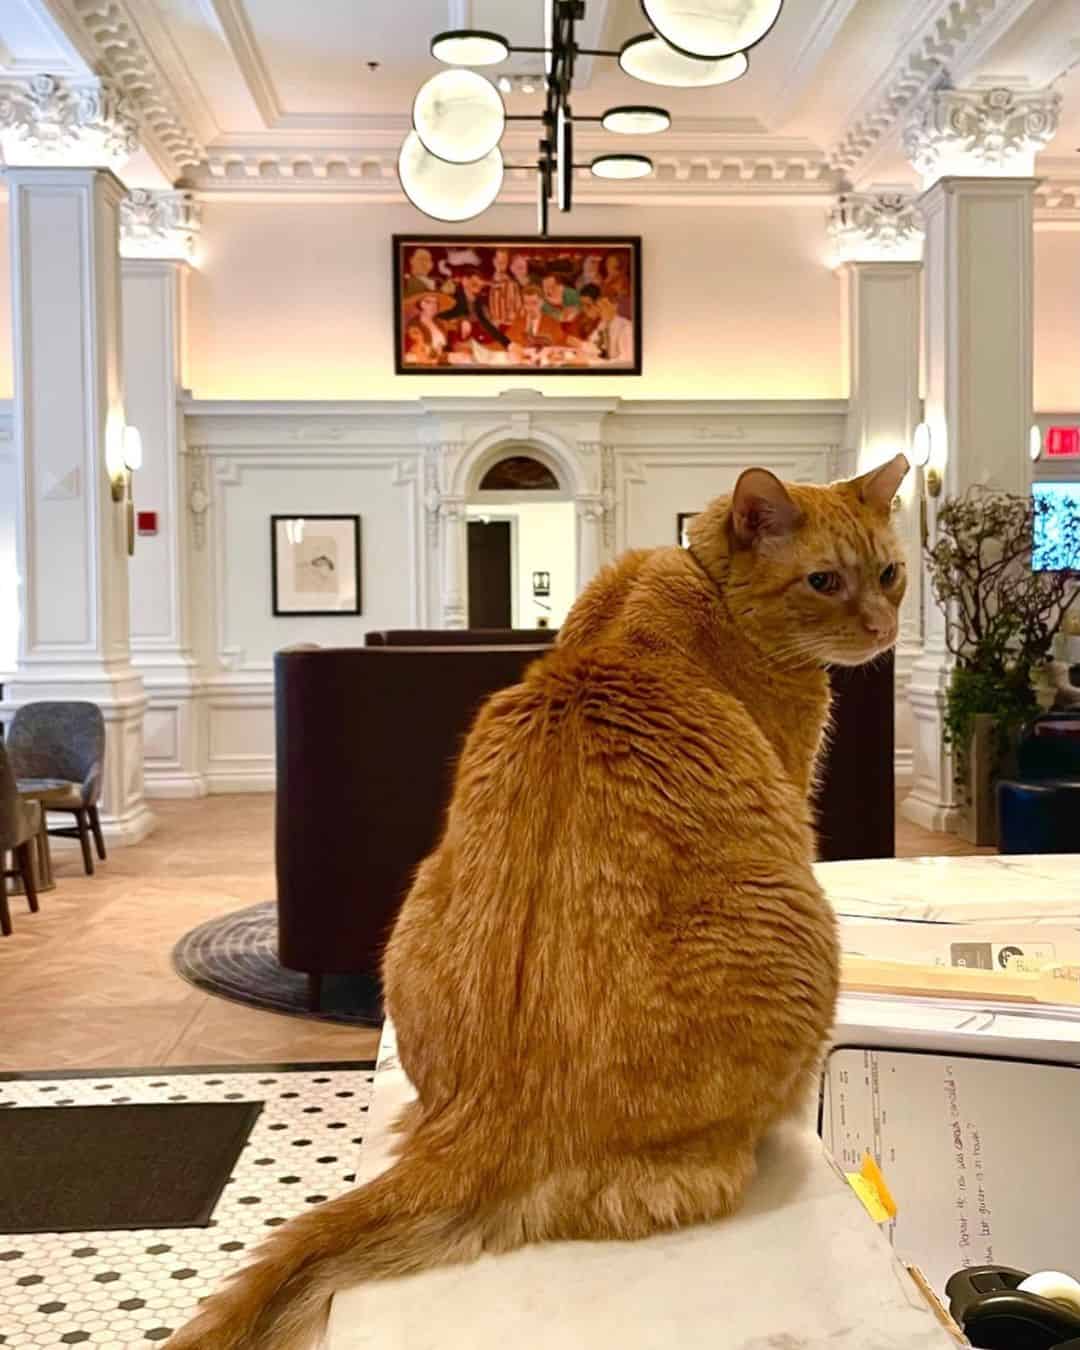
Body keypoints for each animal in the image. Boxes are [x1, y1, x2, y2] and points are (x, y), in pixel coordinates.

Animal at [170, 456, 912, 1350]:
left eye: (890, 574)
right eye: (825, 581)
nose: (883, 628)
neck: (696, 585)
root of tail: (483, 1124)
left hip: (413, 903)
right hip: (803, 927)